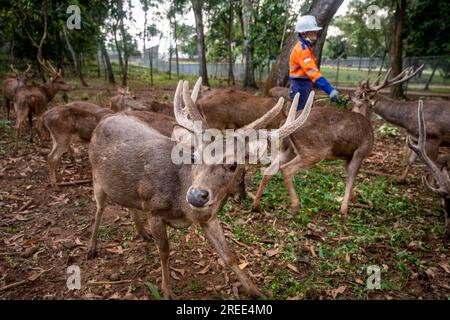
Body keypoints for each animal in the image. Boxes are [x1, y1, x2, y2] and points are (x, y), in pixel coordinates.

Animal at [88, 77, 312, 298]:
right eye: (194, 156)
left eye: (233, 165)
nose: (196, 195)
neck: (182, 206)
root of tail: (105, 119)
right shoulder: (153, 209)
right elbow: (164, 251)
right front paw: (167, 291)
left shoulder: (209, 218)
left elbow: (228, 255)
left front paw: (256, 290)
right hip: (96, 176)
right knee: (99, 209)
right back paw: (92, 248)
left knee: (128, 202)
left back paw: (142, 233)